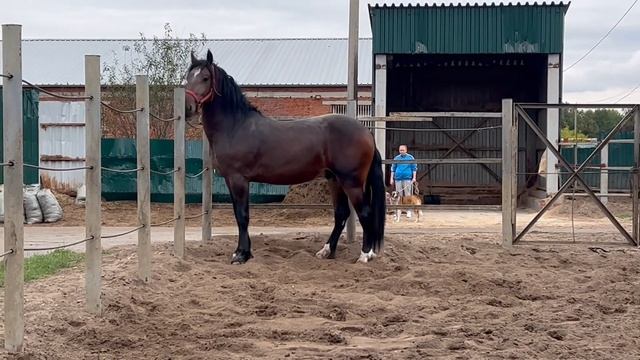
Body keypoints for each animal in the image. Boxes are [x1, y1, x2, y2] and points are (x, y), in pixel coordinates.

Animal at [185, 50, 384, 264]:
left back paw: (364, 255)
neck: (236, 126)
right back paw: (326, 251)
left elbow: (242, 215)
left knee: (364, 213)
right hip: (334, 179)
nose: (187, 107)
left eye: (205, 78)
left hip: (351, 182)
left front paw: (241, 255)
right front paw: (245, 252)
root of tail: (366, 132)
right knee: (341, 214)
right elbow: (240, 215)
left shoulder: (238, 179)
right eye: (187, 77)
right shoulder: (231, 180)